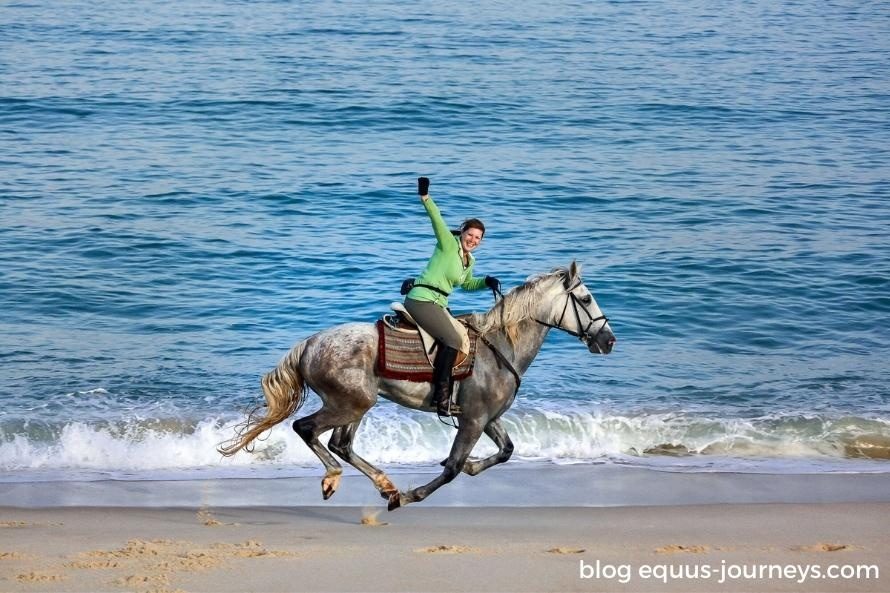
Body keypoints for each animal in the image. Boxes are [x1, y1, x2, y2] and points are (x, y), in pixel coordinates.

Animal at [219, 261, 616, 510]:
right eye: (585, 299)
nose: (608, 340)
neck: (500, 346)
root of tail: (309, 344)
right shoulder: (473, 421)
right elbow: (452, 467)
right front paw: (410, 496)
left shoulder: (487, 418)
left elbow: (506, 451)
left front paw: (469, 469)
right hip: (349, 404)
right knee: (307, 429)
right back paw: (337, 480)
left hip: (355, 404)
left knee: (340, 444)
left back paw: (383, 484)